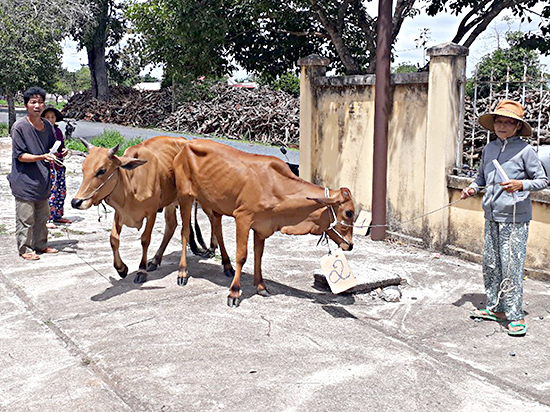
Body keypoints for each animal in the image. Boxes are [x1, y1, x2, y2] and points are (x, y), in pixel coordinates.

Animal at [71, 135, 211, 284]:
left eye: (101, 170)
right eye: (83, 169)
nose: (76, 202)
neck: (131, 183)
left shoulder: (151, 212)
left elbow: (145, 239)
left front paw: (141, 270)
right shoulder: (120, 213)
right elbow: (113, 239)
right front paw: (121, 269)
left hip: (195, 200)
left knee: (199, 224)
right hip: (171, 202)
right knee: (171, 226)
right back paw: (155, 260)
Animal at [174, 140, 358, 308]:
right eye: (349, 212)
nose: (350, 245)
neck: (277, 187)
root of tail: (186, 145)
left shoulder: (261, 226)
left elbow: (259, 255)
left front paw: (261, 286)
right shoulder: (243, 217)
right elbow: (242, 255)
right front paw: (234, 292)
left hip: (213, 204)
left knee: (217, 229)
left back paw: (227, 266)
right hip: (185, 197)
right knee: (185, 232)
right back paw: (182, 273)